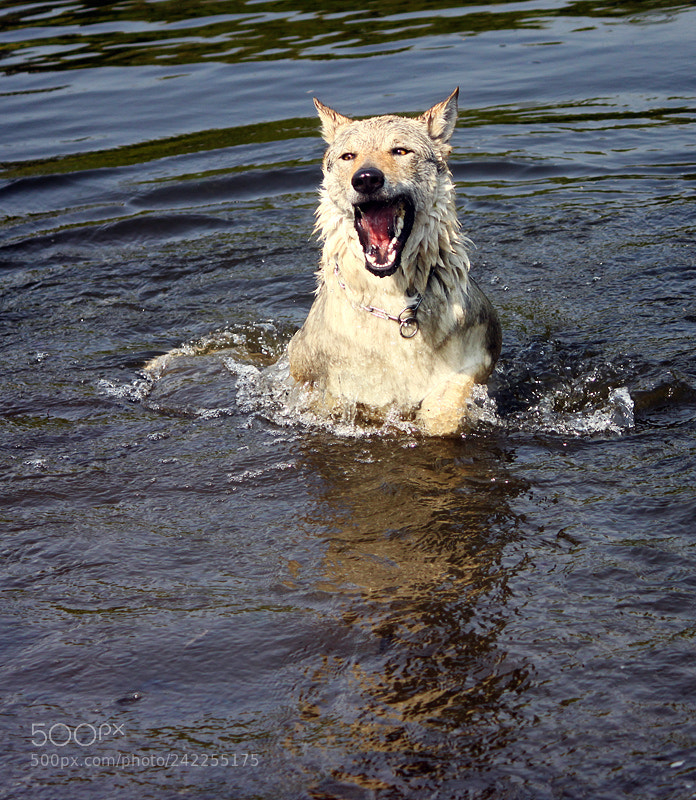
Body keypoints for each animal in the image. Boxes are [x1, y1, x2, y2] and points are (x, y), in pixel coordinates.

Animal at [287, 88, 501, 436]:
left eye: (400, 151)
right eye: (349, 157)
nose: (366, 179)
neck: (393, 305)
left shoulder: (479, 356)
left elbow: (444, 405)